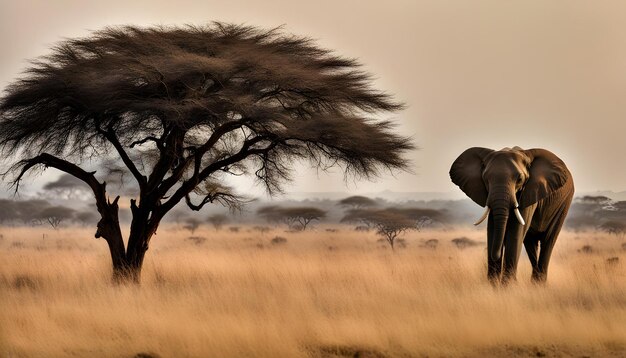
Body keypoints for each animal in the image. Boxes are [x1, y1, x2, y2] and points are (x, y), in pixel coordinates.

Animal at [448, 147, 572, 284]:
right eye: (485, 179)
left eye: (520, 179)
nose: (496, 255)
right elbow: (492, 228)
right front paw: (493, 284)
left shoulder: (530, 191)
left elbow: (516, 229)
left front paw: (508, 285)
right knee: (530, 242)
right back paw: (534, 283)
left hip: (564, 203)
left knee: (548, 240)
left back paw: (539, 283)